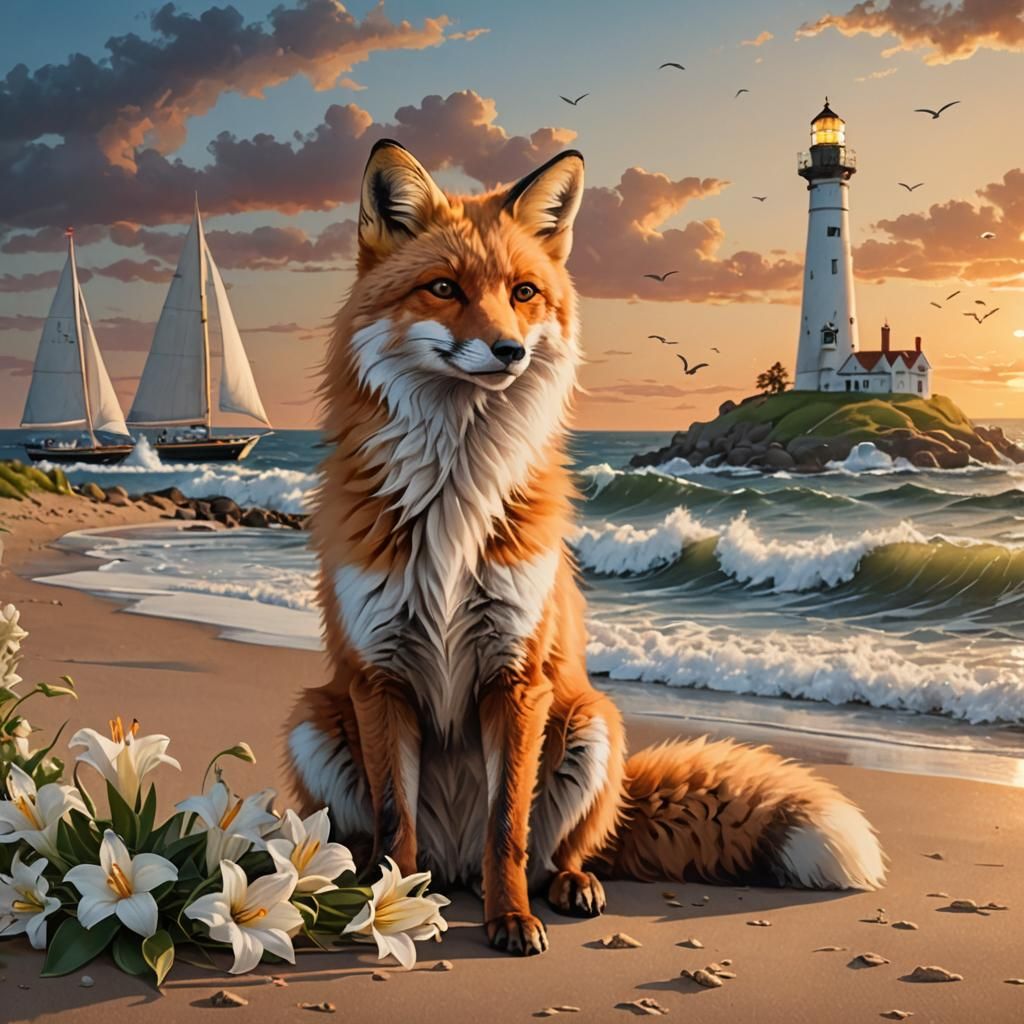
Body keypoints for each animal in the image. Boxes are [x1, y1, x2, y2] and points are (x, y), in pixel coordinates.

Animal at [286, 139, 886, 956]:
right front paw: (392, 914)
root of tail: (454, 869)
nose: (507, 350)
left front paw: (509, 920)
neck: (452, 498)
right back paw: (370, 893)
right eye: (443, 288)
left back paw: (564, 886)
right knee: (379, 847)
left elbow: (508, 827)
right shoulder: (379, 678)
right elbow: (391, 823)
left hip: (590, 721)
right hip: (315, 720)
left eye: (524, 292)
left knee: (551, 852)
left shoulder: (517, 675)